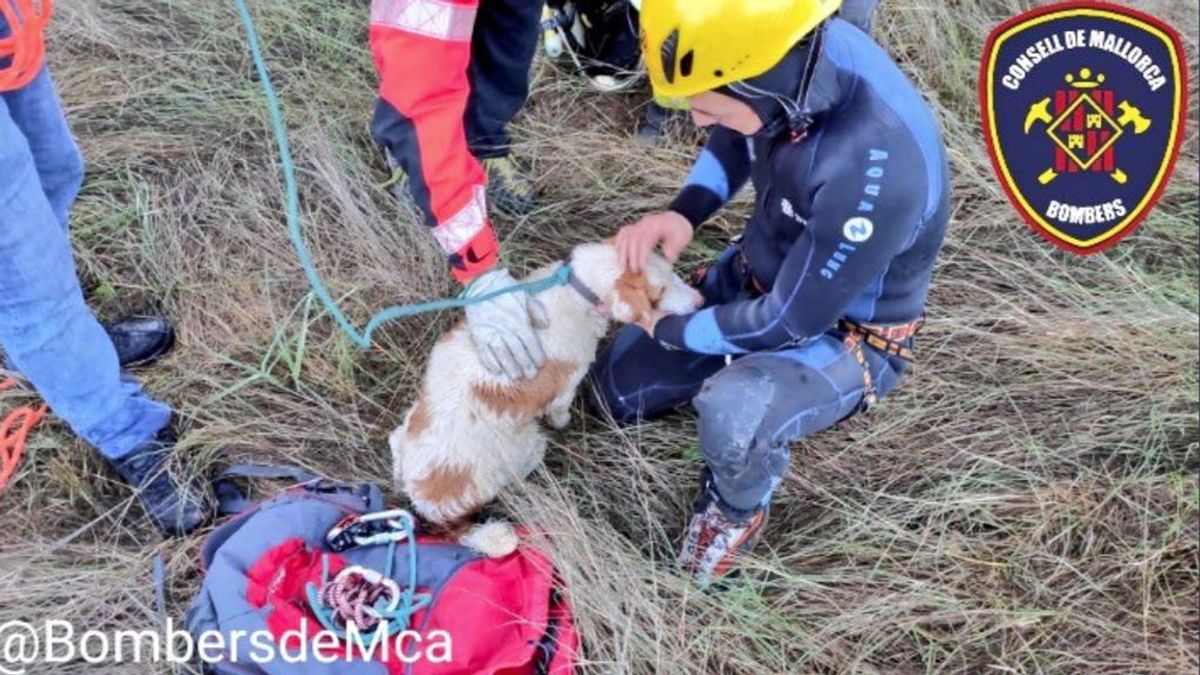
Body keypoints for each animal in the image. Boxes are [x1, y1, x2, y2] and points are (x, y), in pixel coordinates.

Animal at [388, 239, 700, 554]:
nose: (699, 301)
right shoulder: (564, 391)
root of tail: (430, 511)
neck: (576, 290)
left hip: (405, 429)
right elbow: (561, 412)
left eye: (672, 271)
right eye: (658, 293)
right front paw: (566, 424)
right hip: (527, 446)